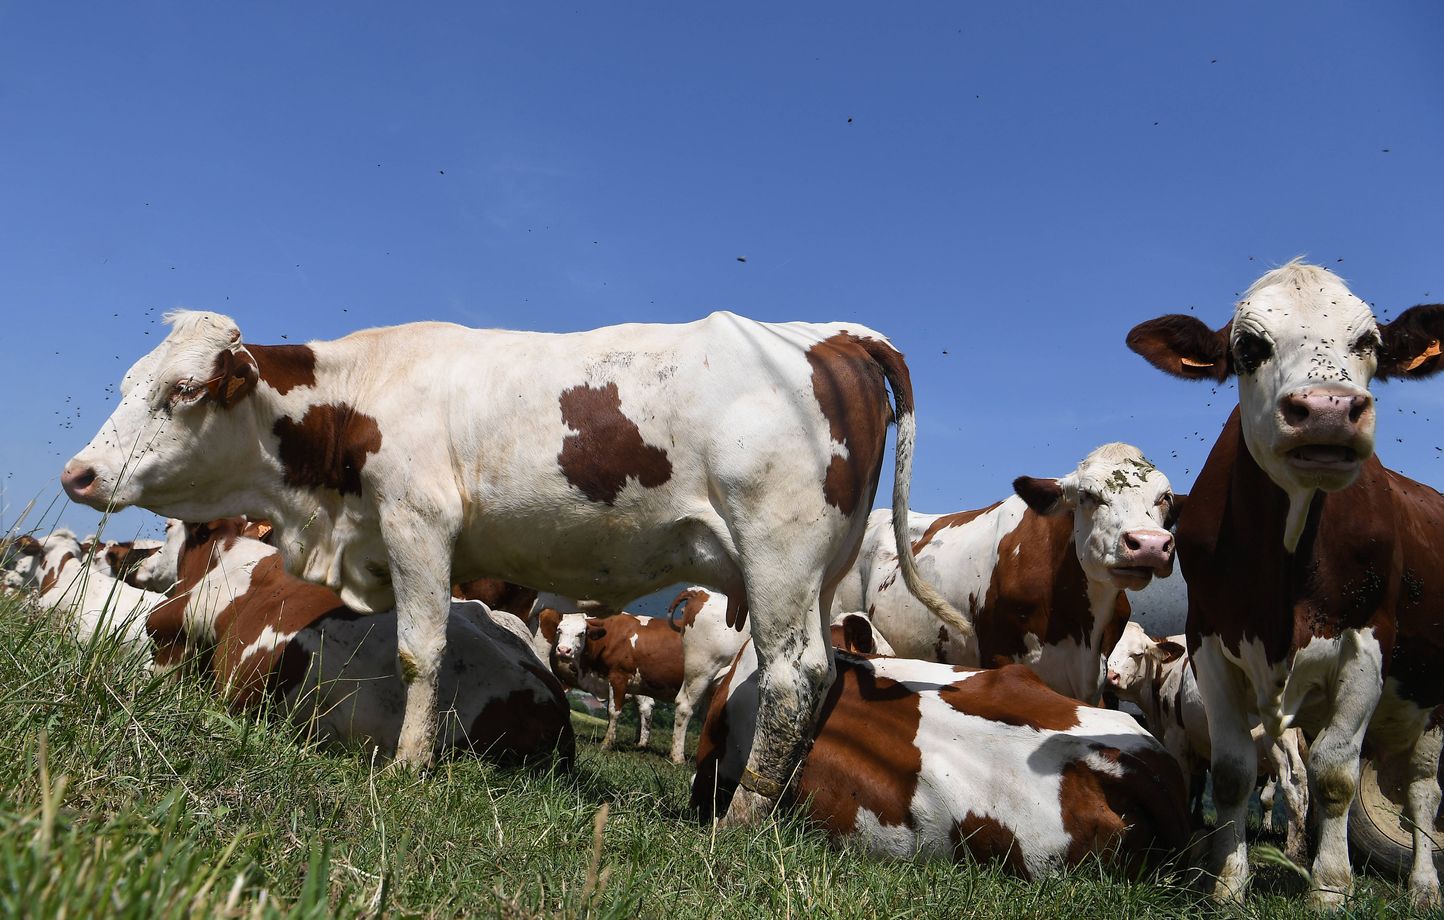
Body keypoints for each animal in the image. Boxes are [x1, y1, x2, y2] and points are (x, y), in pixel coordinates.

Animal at [1105, 621, 1309, 861]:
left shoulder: (1176, 737)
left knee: (1292, 784)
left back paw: (1292, 851)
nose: (1110, 676)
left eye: (1137, 654)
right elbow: (1197, 786)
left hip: (1276, 740)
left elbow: (1184, 784)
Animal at [1127, 259, 1444, 908]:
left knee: (1421, 790)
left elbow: (1335, 775)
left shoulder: (1367, 647)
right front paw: (1228, 882)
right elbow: (1233, 773)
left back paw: (1424, 884)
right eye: (1249, 346)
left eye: (1368, 342)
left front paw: (1329, 888)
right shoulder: (1209, 642)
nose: (1327, 408)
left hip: (1435, 699)